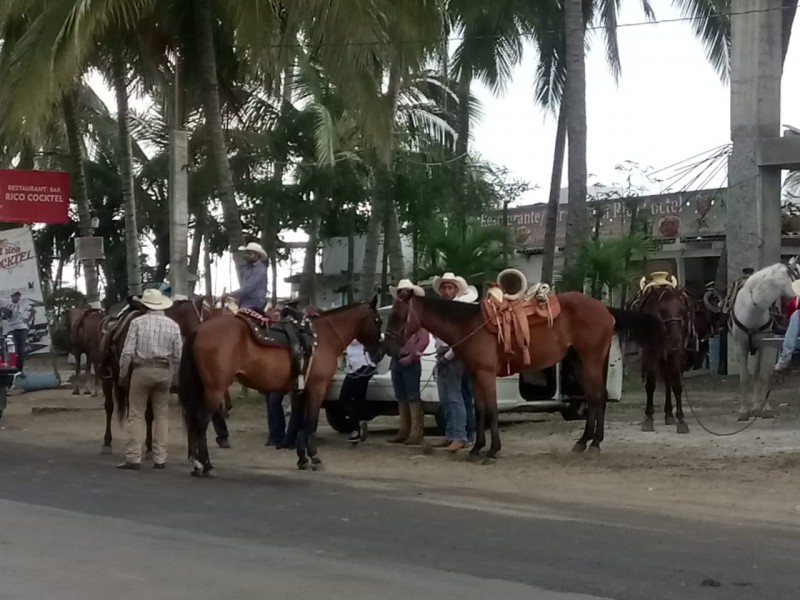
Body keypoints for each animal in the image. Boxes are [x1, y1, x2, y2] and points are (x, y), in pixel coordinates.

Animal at [179, 298, 384, 476]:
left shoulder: (301, 392)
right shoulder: (317, 388)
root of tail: (199, 330)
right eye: (378, 320)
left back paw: (196, 462)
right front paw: (315, 459)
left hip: (202, 389)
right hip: (214, 390)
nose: (381, 352)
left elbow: (301, 423)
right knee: (200, 422)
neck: (323, 337)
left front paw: (302, 459)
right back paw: (205, 465)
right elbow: (311, 423)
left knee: (193, 421)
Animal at [384, 292, 660, 460]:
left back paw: (595, 444)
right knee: (592, 398)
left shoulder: (486, 375)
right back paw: (582, 442)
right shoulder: (475, 376)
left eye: (398, 315)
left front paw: (492, 451)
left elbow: (491, 410)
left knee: (599, 397)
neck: (469, 325)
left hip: (590, 360)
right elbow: (480, 410)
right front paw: (477, 449)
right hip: (579, 362)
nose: (389, 349)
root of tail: (604, 308)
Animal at [632, 288, 692, 434]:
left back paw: (669, 414)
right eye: (662, 310)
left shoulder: (675, 354)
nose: (675, 338)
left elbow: (676, 386)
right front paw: (648, 418)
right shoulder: (651, 354)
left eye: (682, 310)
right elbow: (650, 385)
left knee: (668, 382)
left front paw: (681, 420)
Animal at [732, 258, 800, 422]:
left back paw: (758, 406)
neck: (753, 309)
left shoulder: (767, 346)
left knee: (761, 373)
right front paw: (744, 411)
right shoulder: (740, 347)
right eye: (797, 273)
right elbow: (744, 377)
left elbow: (763, 376)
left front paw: (765, 409)